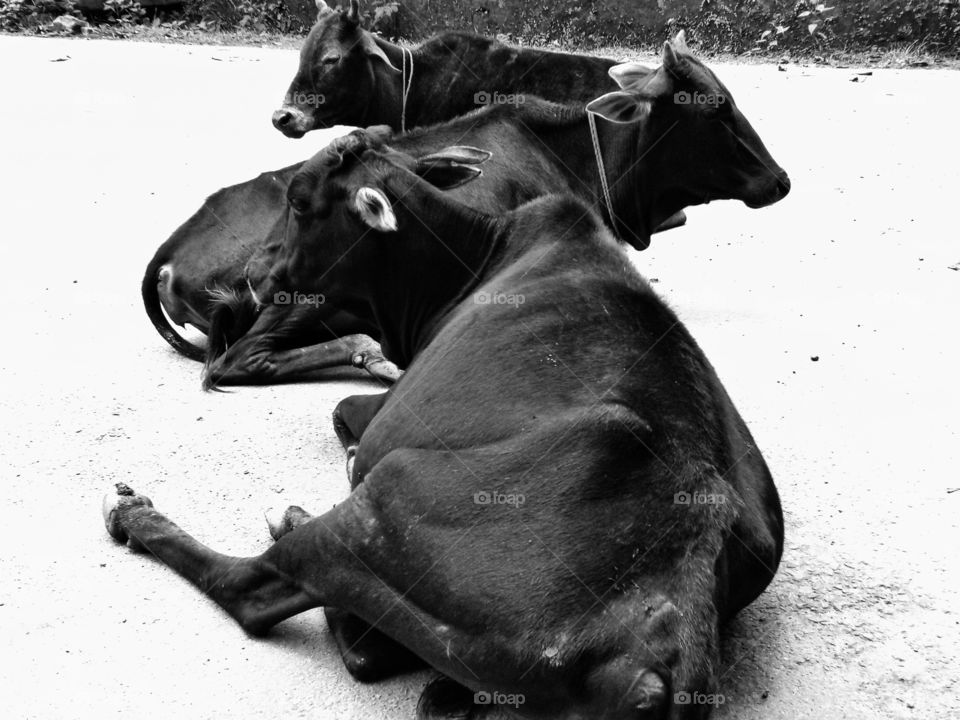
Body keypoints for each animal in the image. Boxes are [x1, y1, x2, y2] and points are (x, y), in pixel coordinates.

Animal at [104, 118, 784, 720]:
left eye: (299, 202)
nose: (252, 274)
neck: (470, 262)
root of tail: (672, 634)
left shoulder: (385, 418)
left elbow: (342, 413)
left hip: (386, 499)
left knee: (266, 595)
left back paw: (150, 515)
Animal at [202, 40, 789, 389]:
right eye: (716, 107)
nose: (780, 180)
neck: (573, 153)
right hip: (305, 297)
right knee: (239, 358)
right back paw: (373, 357)